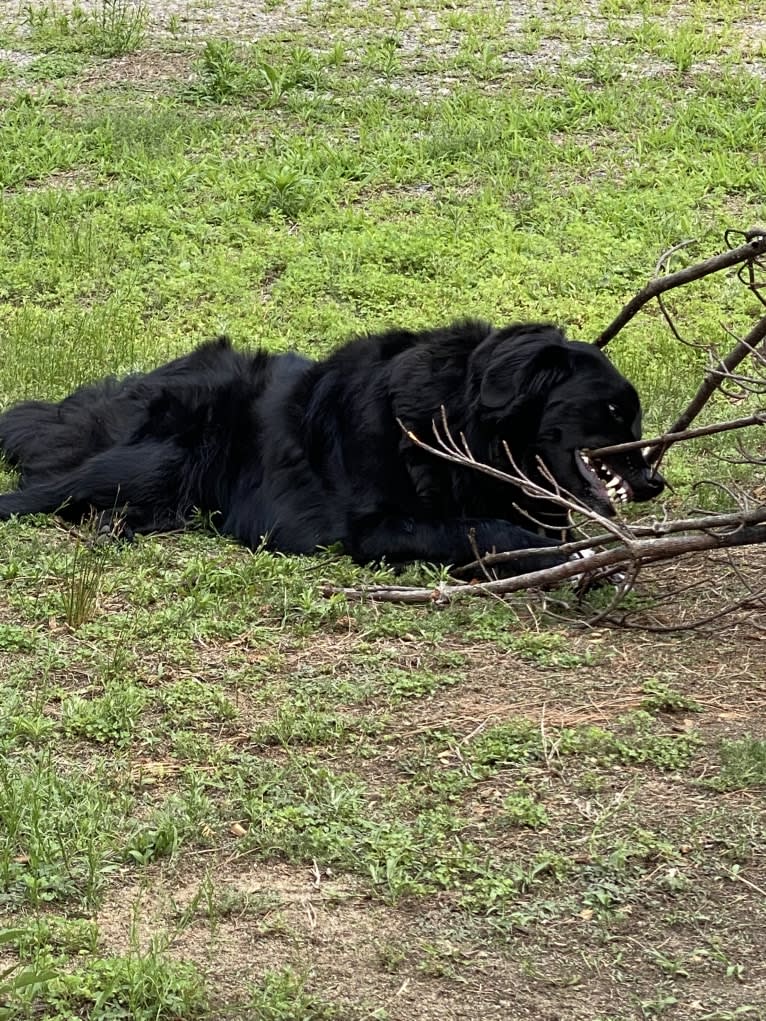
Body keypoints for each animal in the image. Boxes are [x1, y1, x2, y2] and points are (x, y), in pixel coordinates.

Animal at [0, 320, 661, 575]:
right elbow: (479, 528)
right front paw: (549, 554)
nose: (656, 483)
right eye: (613, 411)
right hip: (153, 458)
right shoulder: (376, 526)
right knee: (33, 493)